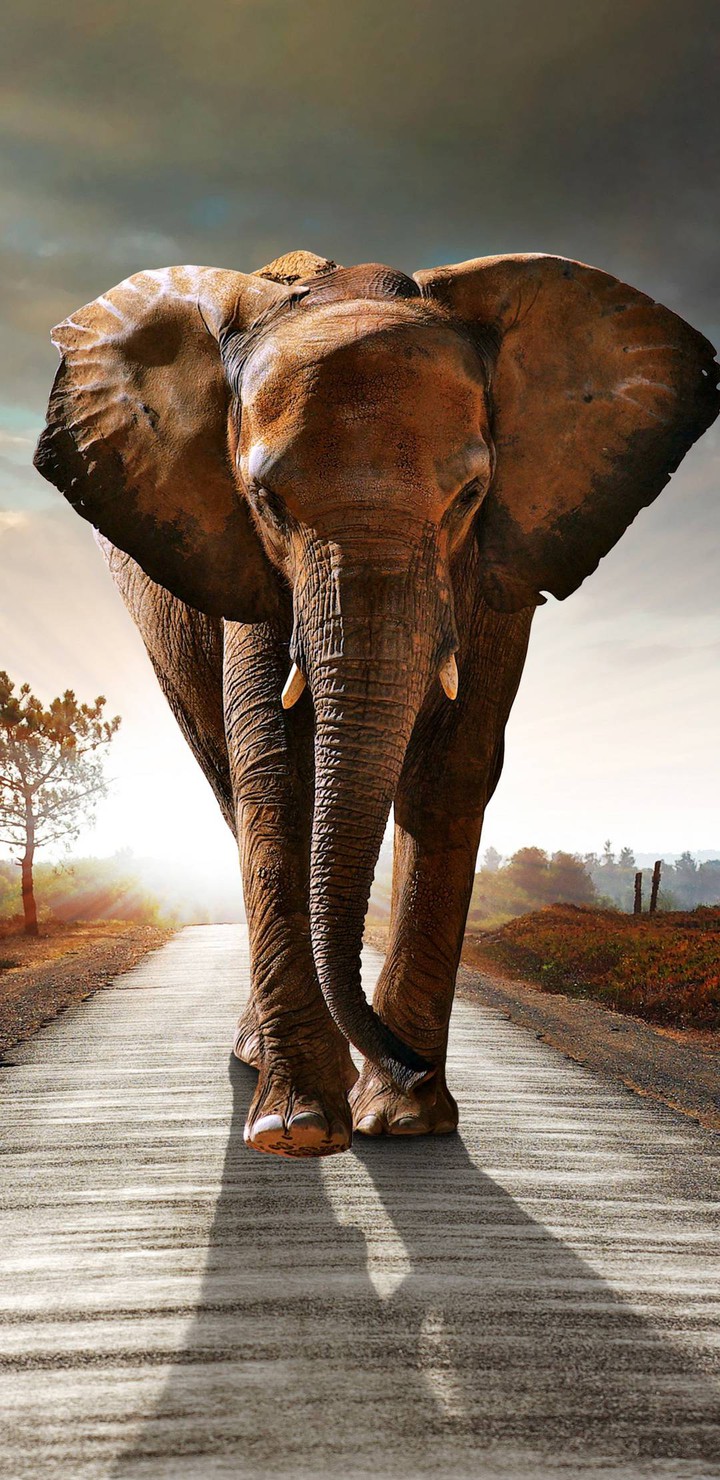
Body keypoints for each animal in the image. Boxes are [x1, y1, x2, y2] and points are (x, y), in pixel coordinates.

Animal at [34, 248, 718, 1158]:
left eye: (470, 496)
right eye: (267, 502)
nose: (408, 1063)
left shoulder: (500, 563)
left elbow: (452, 769)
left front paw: (405, 1121)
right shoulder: (248, 566)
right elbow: (276, 770)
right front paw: (298, 1130)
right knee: (227, 783)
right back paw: (262, 1063)